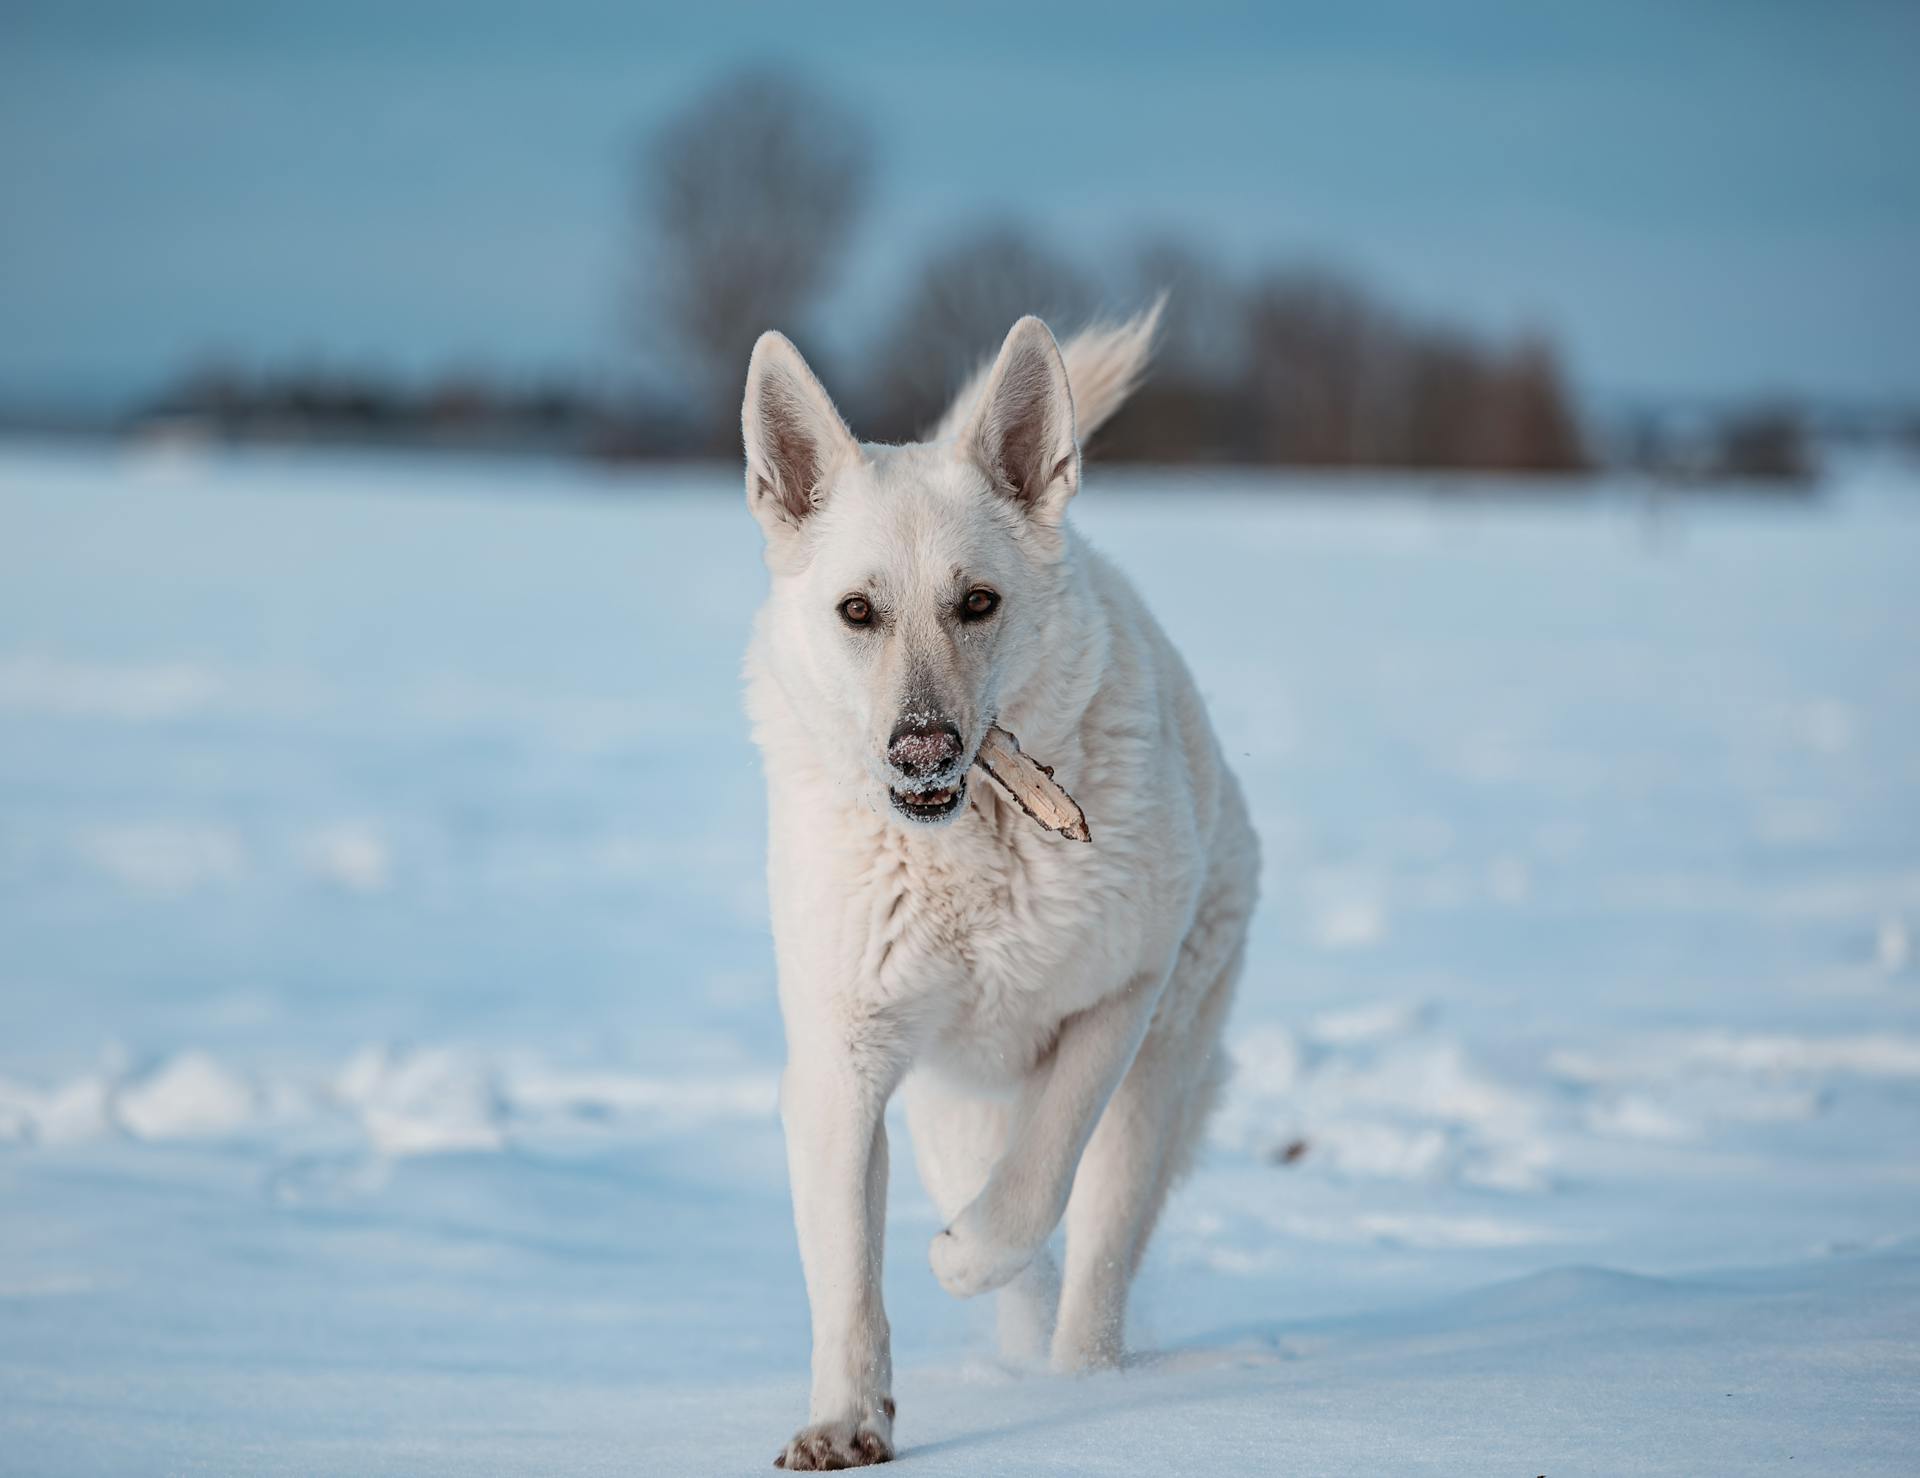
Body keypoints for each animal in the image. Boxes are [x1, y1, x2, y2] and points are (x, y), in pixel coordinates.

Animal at [737, 299, 1259, 1458]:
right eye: (857, 612)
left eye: (977, 602)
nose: (922, 749)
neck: (969, 855)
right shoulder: (844, 1060)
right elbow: (845, 1271)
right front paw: (845, 1422)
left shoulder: (1121, 996)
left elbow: (1034, 1184)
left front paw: (959, 1255)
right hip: (947, 1109)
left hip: (1159, 1076)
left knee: (1096, 1249)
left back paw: (1080, 1382)